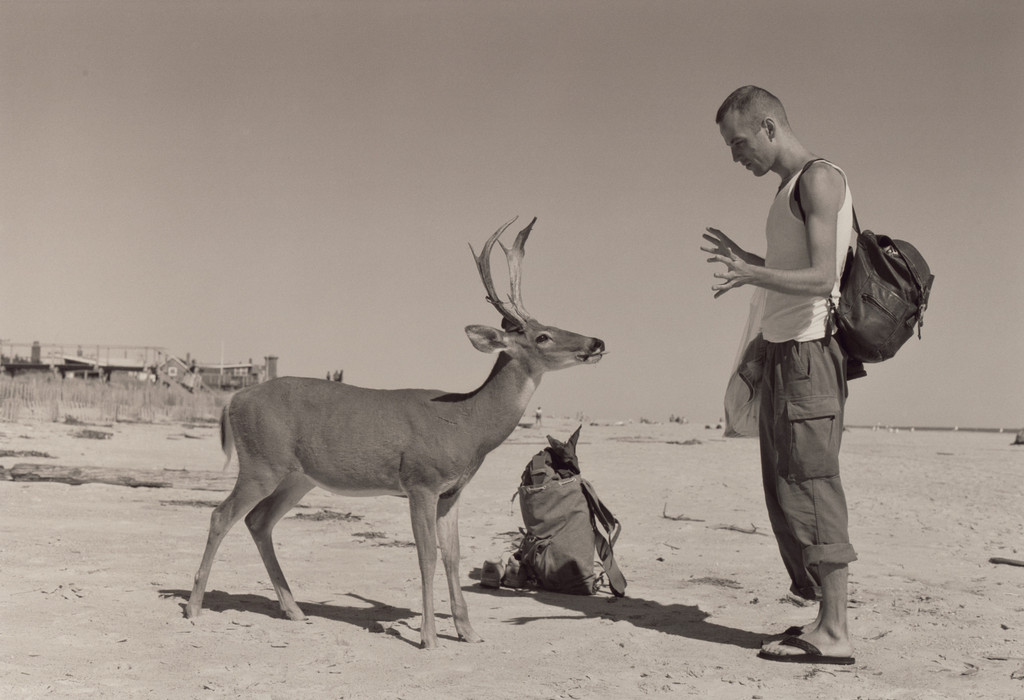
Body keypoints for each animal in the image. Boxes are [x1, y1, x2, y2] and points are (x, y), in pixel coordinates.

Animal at [184, 217, 605, 649]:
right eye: (542, 336)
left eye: (552, 324)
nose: (596, 342)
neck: (467, 424)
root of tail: (234, 398)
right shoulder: (420, 481)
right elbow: (427, 555)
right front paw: (429, 637)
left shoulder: (452, 491)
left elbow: (453, 555)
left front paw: (468, 632)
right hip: (260, 462)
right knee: (220, 515)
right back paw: (195, 607)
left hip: (298, 477)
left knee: (258, 522)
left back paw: (295, 610)